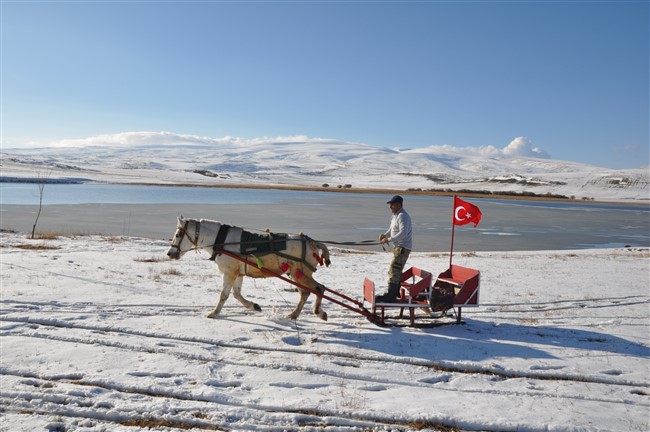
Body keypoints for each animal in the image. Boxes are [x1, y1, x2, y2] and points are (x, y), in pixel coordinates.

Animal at [165, 216, 332, 320]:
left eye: (178, 234)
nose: (170, 253)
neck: (221, 240)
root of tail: (313, 243)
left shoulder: (229, 273)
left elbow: (224, 295)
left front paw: (214, 312)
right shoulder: (239, 274)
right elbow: (236, 294)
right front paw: (254, 306)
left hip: (300, 274)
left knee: (319, 288)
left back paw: (318, 312)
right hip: (295, 274)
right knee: (306, 293)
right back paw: (294, 314)